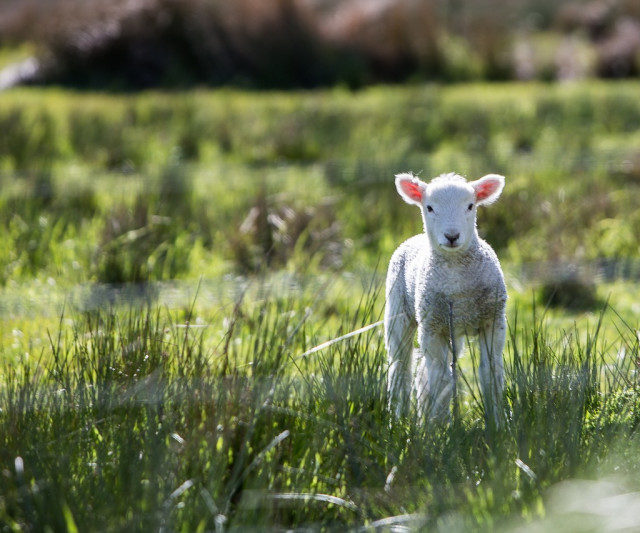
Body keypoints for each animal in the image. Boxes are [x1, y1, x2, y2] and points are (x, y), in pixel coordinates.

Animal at [382, 171, 508, 424]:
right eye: (429, 207)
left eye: (470, 206)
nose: (452, 236)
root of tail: (414, 238)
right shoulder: (432, 327)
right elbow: (441, 380)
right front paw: (441, 428)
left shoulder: (493, 321)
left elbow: (490, 374)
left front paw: (497, 423)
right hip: (398, 312)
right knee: (401, 368)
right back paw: (399, 419)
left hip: (452, 330)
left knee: (423, 370)